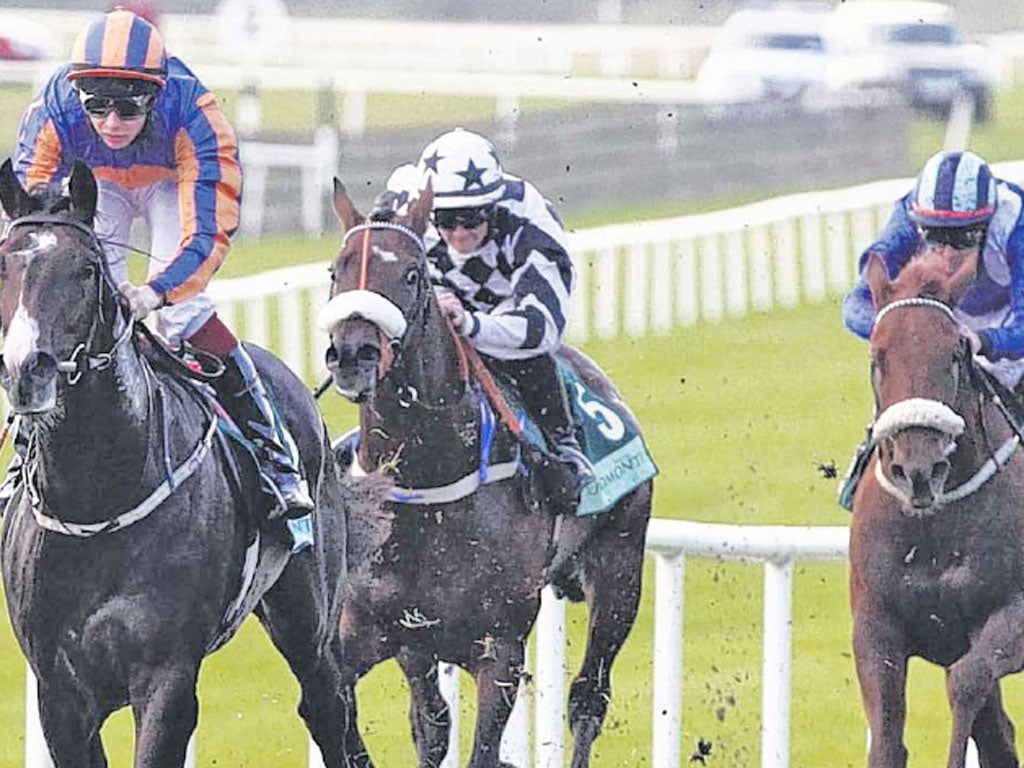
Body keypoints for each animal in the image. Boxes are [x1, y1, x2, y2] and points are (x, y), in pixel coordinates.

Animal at [0, 160, 356, 765]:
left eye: (87, 269)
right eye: (4, 262)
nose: (28, 369)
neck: (96, 498)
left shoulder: (165, 675)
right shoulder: (58, 692)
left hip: (306, 610)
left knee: (327, 705)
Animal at [319, 182, 655, 768]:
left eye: (413, 274)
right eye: (337, 270)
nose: (353, 354)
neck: (427, 485)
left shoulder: (498, 651)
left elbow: (483, 749)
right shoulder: (369, 634)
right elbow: (361, 731)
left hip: (619, 570)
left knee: (588, 697)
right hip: (417, 649)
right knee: (431, 722)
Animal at [851, 253, 1024, 768]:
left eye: (953, 355)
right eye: (878, 357)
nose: (918, 470)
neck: (934, 528)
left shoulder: (1012, 616)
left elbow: (966, 684)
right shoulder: (875, 626)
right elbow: (888, 735)